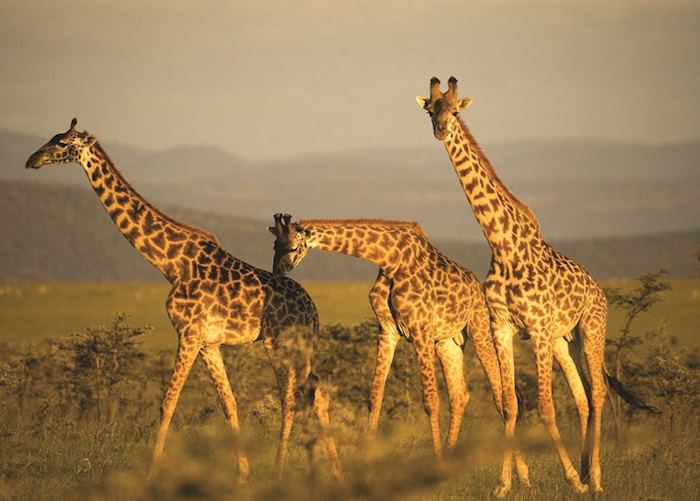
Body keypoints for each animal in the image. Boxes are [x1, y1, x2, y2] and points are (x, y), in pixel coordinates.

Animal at [25, 119, 342, 482]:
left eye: (61, 143)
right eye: (51, 138)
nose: (32, 160)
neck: (170, 263)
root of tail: (313, 310)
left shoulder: (188, 332)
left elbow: (169, 401)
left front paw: (151, 473)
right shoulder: (207, 342)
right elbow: (228, 403)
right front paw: (242, 474)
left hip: (279, 342)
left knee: (291, 397)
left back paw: (280, 472)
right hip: (301, 346)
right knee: (317, 393)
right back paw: (335, 471)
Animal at [268, 213, 528, 474]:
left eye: (293, 247)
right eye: (274, 245)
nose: (277, 274)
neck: (390, 259)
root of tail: (478, 286)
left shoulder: (420, 329)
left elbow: (431, 400)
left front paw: (434, 463)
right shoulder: (387, 330)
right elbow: (375, 396)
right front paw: (366, 462)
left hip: (479, 327)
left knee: (501, 394)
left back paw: (521, 475)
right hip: (447, 342)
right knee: (460, 394)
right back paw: (452, 460)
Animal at [416, 77, 658, 495]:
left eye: (456, 110)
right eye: (431, 110)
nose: (441, 130)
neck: (502, 245)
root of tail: (598, 289)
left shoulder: (538, 329)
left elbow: (545, 407)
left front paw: (571, 481)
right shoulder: (503, 327)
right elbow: (511, 404)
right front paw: (505, 485)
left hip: (591, 329)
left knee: (598, 392)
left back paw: (594, 478)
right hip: (564, 341)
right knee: (582, 397)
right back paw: (584, 469)